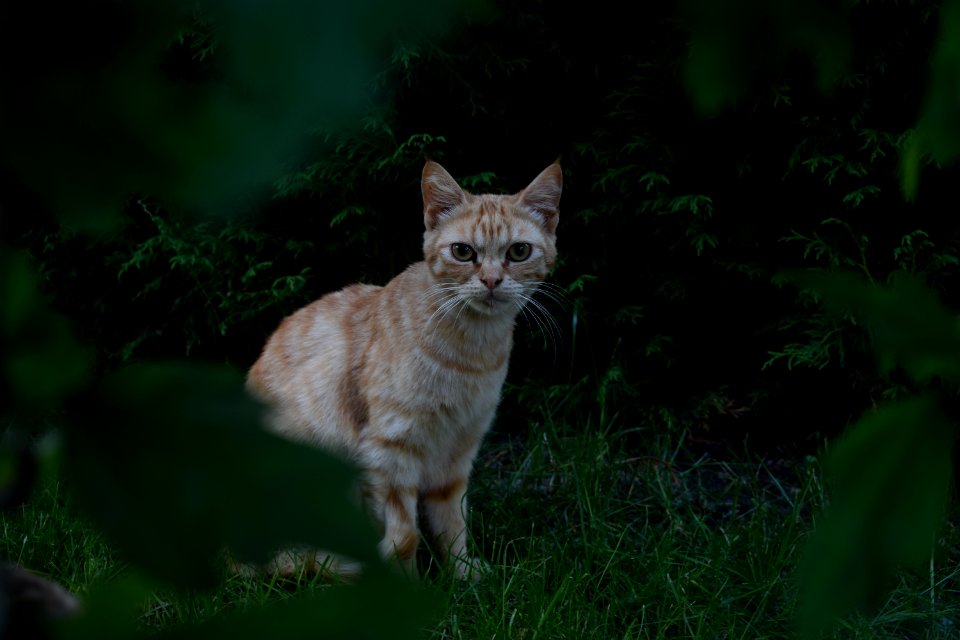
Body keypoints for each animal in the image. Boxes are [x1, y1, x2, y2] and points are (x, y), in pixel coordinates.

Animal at [248, 160, 564, 580]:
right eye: (463, 252)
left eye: (519, 251)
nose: (492, 280)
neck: (472, 353)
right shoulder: (390, 449)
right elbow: (405, 535)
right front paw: (408, 590)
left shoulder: (458, 452)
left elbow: (452, 524)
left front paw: (463, 575)